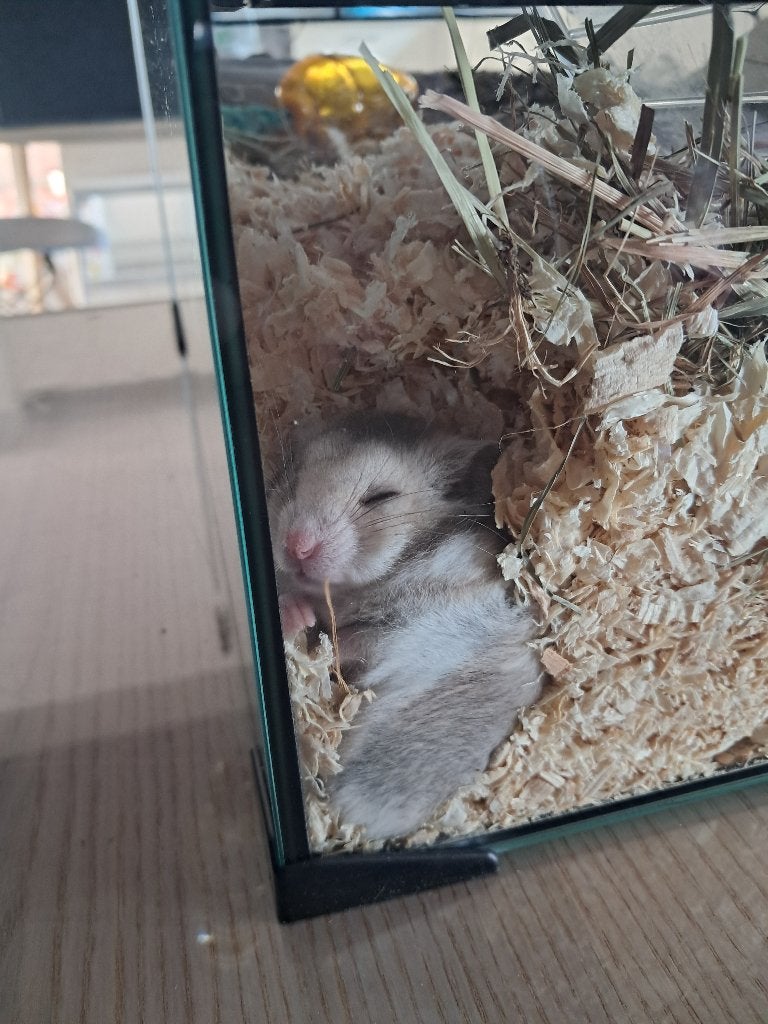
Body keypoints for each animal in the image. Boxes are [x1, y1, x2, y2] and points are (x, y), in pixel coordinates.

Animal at [270, 411, 543, 841]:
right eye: (292, 477)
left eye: (382, 497)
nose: (296, 545)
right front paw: (296, 609)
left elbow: (339, 643)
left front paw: (304, 618)